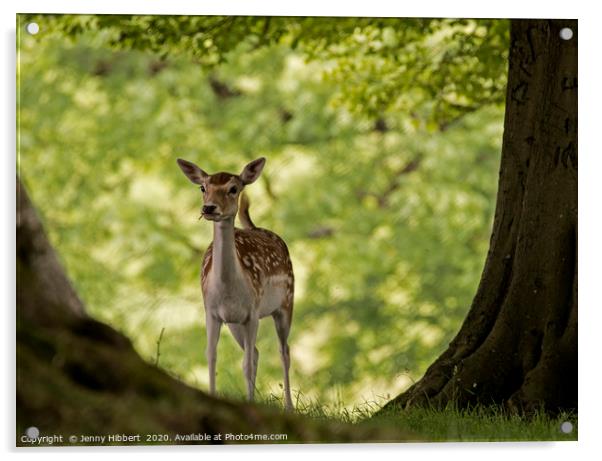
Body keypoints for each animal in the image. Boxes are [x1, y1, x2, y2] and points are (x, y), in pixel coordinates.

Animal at [176, 156, 292, 408]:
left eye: (233, 188)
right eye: (203, 187)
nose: (209, 208)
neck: (228, 290)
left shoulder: (252, 312)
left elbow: (246, 365)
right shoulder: (212, 312)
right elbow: (211, 357)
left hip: (287, 301)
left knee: (284, 351)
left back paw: (289, 406)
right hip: (234, 323)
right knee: (256, 352)